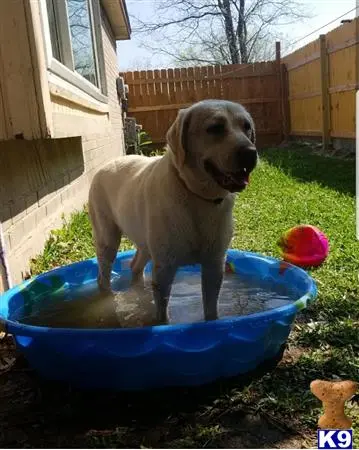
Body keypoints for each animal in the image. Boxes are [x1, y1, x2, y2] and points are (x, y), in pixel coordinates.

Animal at [90, 99, 258, 324]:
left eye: (247, 127)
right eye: (215, 128)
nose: (250, 153)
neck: (197, 197)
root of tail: (105, 165)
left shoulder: (214, 265)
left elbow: (211, 310)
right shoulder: (165, 269)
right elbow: (162, 314)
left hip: (145, 243)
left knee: (135, 266)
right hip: (107, 240)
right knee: (103, 277)